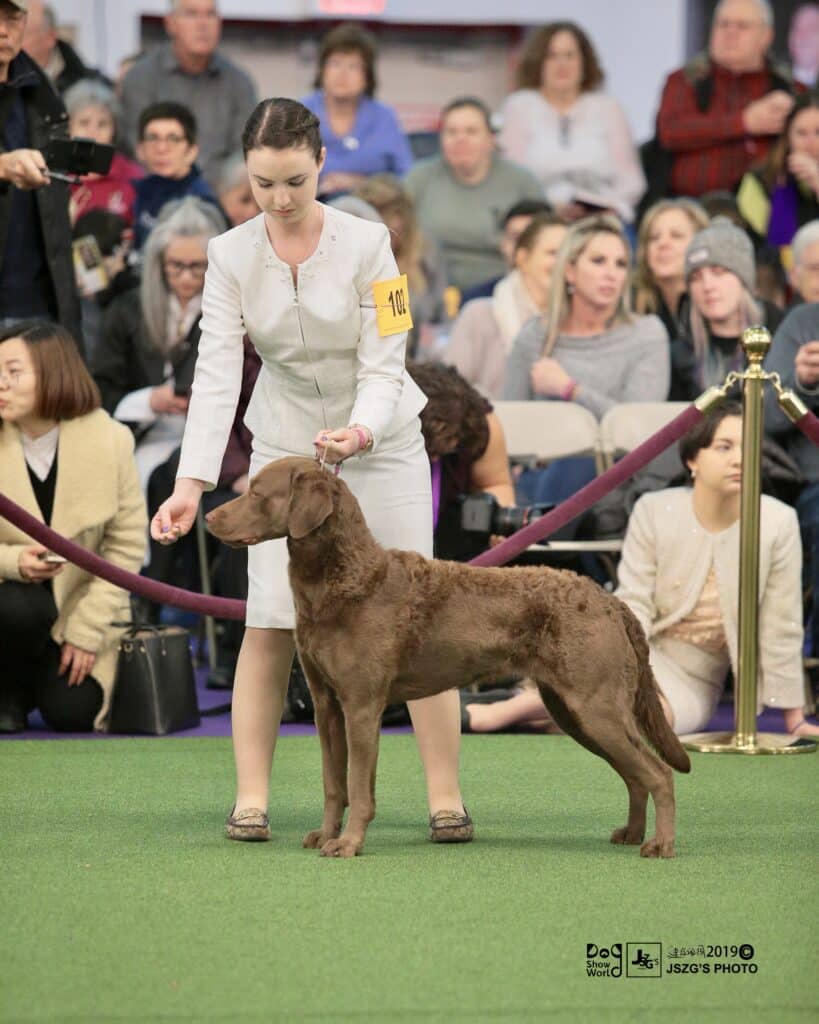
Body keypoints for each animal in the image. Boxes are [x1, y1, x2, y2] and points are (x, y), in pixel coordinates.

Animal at [206, 456, 692, 856]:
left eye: (256, 492)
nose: (208, 516)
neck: (348, 576)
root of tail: (611, 601)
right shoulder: (326, 704)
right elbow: (333, 783)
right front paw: (325, 836)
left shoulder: (362, 705)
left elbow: (359, 787)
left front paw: (348, 844)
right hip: (574, 711)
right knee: (635, 774)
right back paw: (631, 834)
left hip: (595, 705)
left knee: (657, 772)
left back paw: (660, 845)